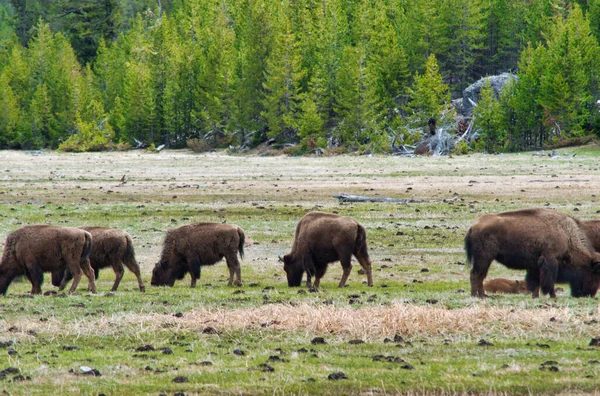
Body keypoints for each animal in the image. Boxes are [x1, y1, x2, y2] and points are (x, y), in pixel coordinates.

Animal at [464, 209, 600, 298]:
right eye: (593, 273)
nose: (589, 294)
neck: (566, 235)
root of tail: (473, 226)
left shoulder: (535, 265)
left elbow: (536, 282)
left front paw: (536, 296)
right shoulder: (550, 262)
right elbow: (548, 282)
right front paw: (552, 296)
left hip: (484, 260)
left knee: (479, 276)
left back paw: (482, 295)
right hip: (484, 259)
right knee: (475, 275)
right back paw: (477, 296)